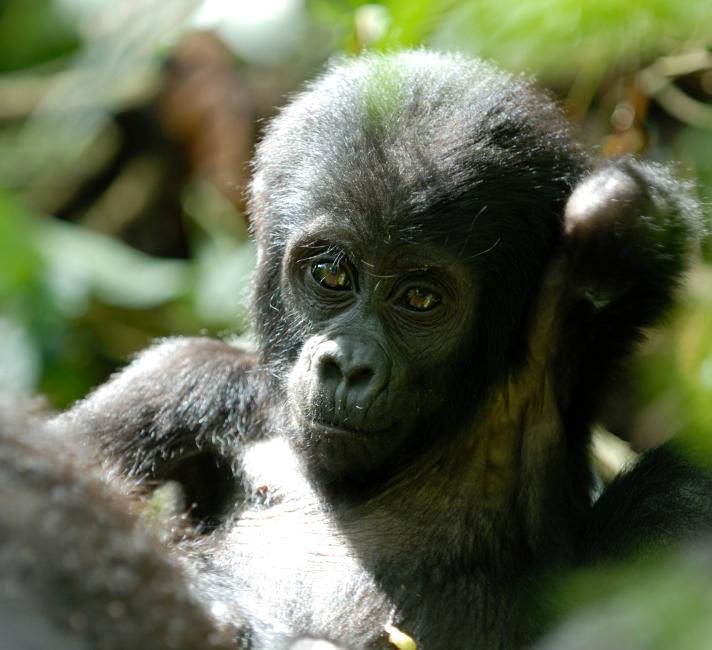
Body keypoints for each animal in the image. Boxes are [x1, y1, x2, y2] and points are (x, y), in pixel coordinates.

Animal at [16, 52, 712, 648]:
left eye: (420, 299)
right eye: (330, 274)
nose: (348, 366)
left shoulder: (557, 348)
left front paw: (611, 212)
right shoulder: (183, 378)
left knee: (675, 489)